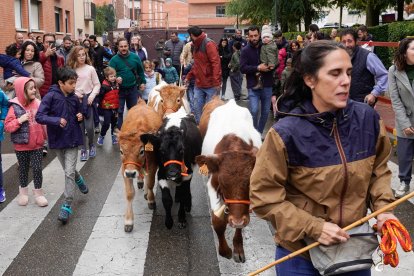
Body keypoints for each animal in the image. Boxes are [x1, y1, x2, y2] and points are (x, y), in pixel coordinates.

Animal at [118, 100, 163, 232]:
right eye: (121, 151)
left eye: (142, 151)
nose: (131, 173)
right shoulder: (124, 169)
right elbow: (129, 194)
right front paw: (128, 221)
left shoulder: (153, 166)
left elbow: (151, 183)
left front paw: (151, 200)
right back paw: (139, 181)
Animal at [195, 99, 260, 264]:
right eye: (223, 184)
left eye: (251, 184)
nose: (236, 221)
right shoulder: (213, 184)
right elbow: (218, 222)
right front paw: (225, 250)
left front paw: (238, 247)